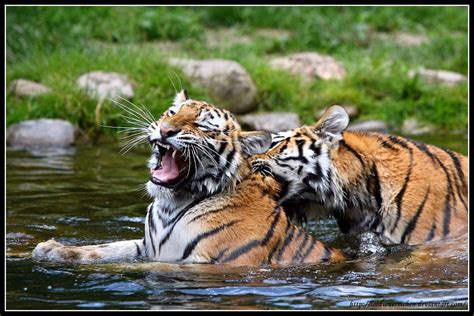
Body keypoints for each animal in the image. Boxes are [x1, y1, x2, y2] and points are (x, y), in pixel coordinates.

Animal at [31, 91, 346, 266]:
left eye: (202, 125)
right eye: (172, 112)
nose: (165, 129)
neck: (171, 204)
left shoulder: (207, 263)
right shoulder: (146, 247)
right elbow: (107, 250)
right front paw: (53, 250)